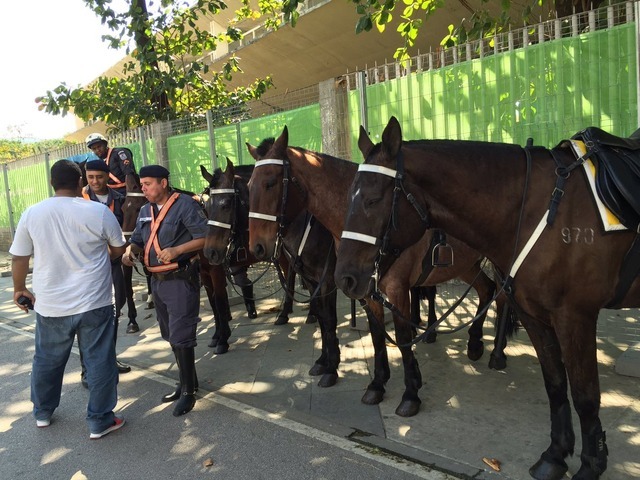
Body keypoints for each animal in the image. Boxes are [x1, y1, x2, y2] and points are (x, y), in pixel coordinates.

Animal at [202, 158, 342, 386]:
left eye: (225, 204)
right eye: (205, 206)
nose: (210, 252)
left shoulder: (327, 281)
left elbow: (329, 319)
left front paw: (332, 368)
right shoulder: (312, 278)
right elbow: (323, 319)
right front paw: (323, 360)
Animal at [246, 129, 516, 418]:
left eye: (271, 183)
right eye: (249, 185)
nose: (257, 246)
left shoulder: (383, 288)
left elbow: (396, 336)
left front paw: (409, 394)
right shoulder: (353, 288)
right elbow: (369, 334)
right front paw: (374, 382)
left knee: (502, 297)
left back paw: (497, 353)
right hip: (466, 265)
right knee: (487, 290)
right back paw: (475, 343)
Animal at [336, 116, 636, 480]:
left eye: (372, 200)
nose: (345, 276)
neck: (540, 210)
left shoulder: (575, 317)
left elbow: (586, 395)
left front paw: (592, 464)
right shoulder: (536, 316)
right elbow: (555, 385)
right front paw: (555, 455)